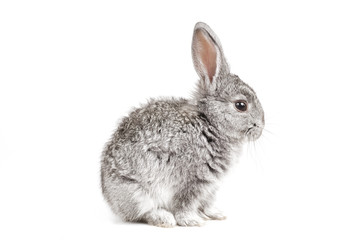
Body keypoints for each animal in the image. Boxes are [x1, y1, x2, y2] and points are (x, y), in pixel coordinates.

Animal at [100, 22, 264, 227]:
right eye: (241, 105)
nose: (260, 127)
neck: (210, 122)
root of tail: (109, 197)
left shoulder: (211, 187)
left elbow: (207, 203)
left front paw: (216, 214)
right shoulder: (192, 181)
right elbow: (186, 204)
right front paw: (191, 221)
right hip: (138, 192)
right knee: (143, 212)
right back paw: (164, 218)